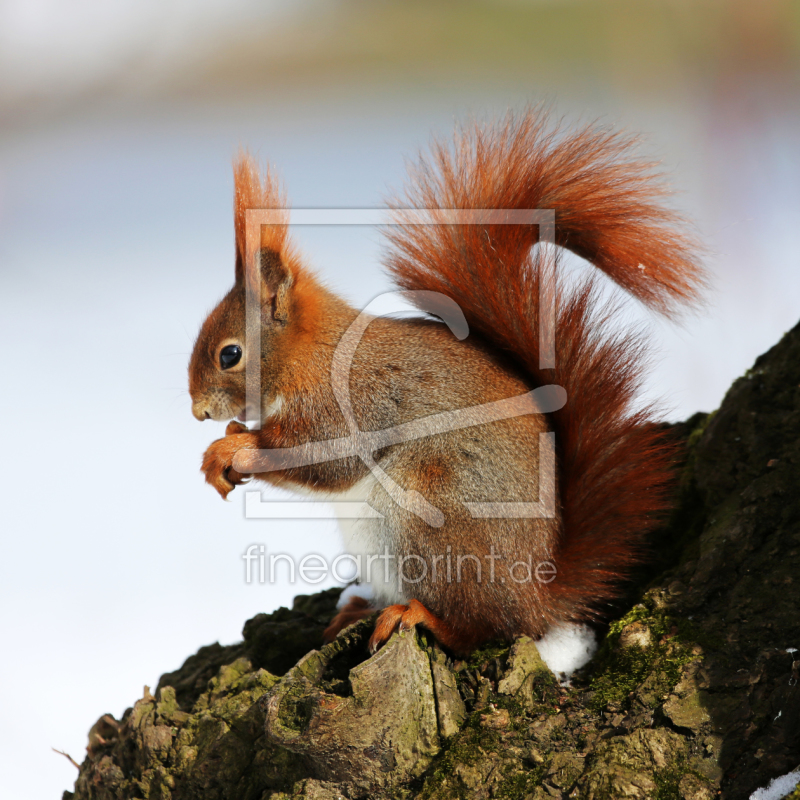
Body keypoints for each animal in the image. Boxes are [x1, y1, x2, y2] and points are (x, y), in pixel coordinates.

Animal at [189, 109, 708, 656]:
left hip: (433, 514)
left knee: (485, 627)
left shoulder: (353, 402)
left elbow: (327, 457)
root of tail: (540, 595)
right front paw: (228, 441)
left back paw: (418, 615)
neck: (311, 355)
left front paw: (230, 449)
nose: (198, 411)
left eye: (229, 354)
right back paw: (362, 608)